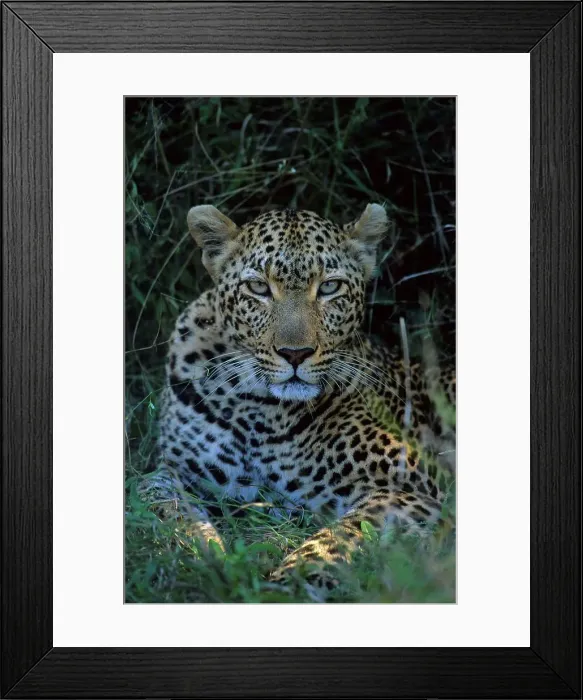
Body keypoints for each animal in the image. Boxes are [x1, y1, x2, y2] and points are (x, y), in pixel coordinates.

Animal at [148, 203, 456, 597]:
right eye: (258, 288)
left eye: (329, 287)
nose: (295, 353)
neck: (259, 412)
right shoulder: (174, 470)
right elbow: (160, 503)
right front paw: (202, 552)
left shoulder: (420, 487)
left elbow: (343, 534)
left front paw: (287, 584)